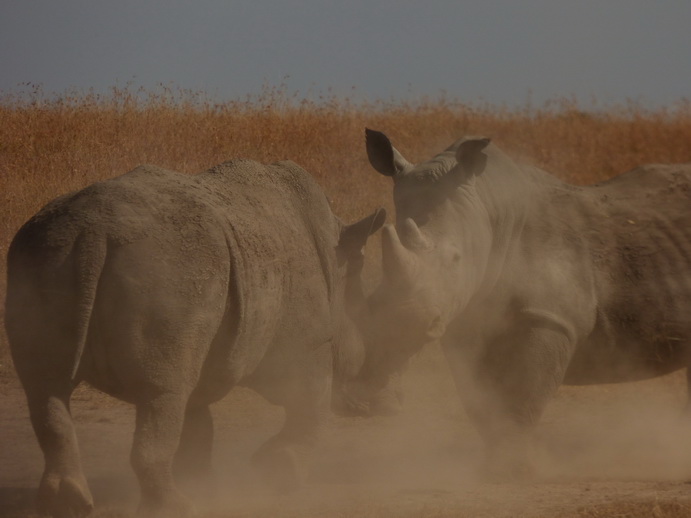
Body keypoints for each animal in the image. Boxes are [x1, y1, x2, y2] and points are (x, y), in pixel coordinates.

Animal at [4, 159, 384, 518]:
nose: (374, 406)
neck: (335, 259)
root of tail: (93, 233)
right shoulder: (307, 345)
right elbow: (311, 403)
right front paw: (279, 474)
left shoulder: (203, 340)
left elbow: (196, 419)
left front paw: (203, 483)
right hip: (165, 270)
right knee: (161, 393)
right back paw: (176, 508)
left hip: (42, 255)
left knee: (46, 387)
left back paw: (66, 504)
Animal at [354, 129, 691, 480]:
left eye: (456, 259)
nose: (366, 406)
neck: (488, 209)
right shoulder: (467, 322)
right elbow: (479, 398)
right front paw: (491, 466)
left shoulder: (549, 317)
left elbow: (524, 392)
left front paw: (511, 471)